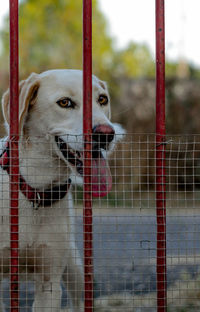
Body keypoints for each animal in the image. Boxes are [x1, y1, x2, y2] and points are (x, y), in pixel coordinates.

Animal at [0, 69, 124, 310]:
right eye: (64, 102)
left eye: (102, 99)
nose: (106, 133)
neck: (36, 188)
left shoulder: (49, 282)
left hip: (75, 269)